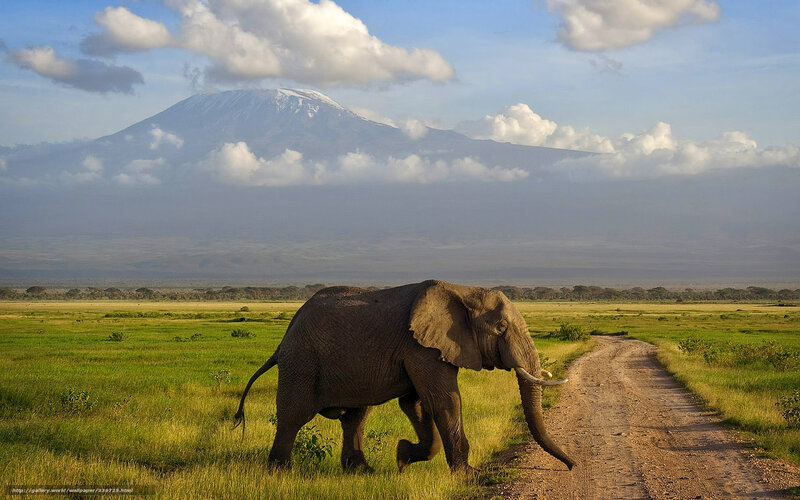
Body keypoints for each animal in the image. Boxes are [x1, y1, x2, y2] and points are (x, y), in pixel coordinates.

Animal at [233, 279, 575, 473]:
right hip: (301, 363)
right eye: (501, 328)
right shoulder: (420, 346)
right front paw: (469, 475)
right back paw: (279, 473)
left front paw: (401, 457)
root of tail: (284, 338)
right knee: (294, 416)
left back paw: (362, 472)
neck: (464, 292)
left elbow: (416, 404)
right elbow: (444, 402)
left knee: (356, 417)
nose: (572, 465)